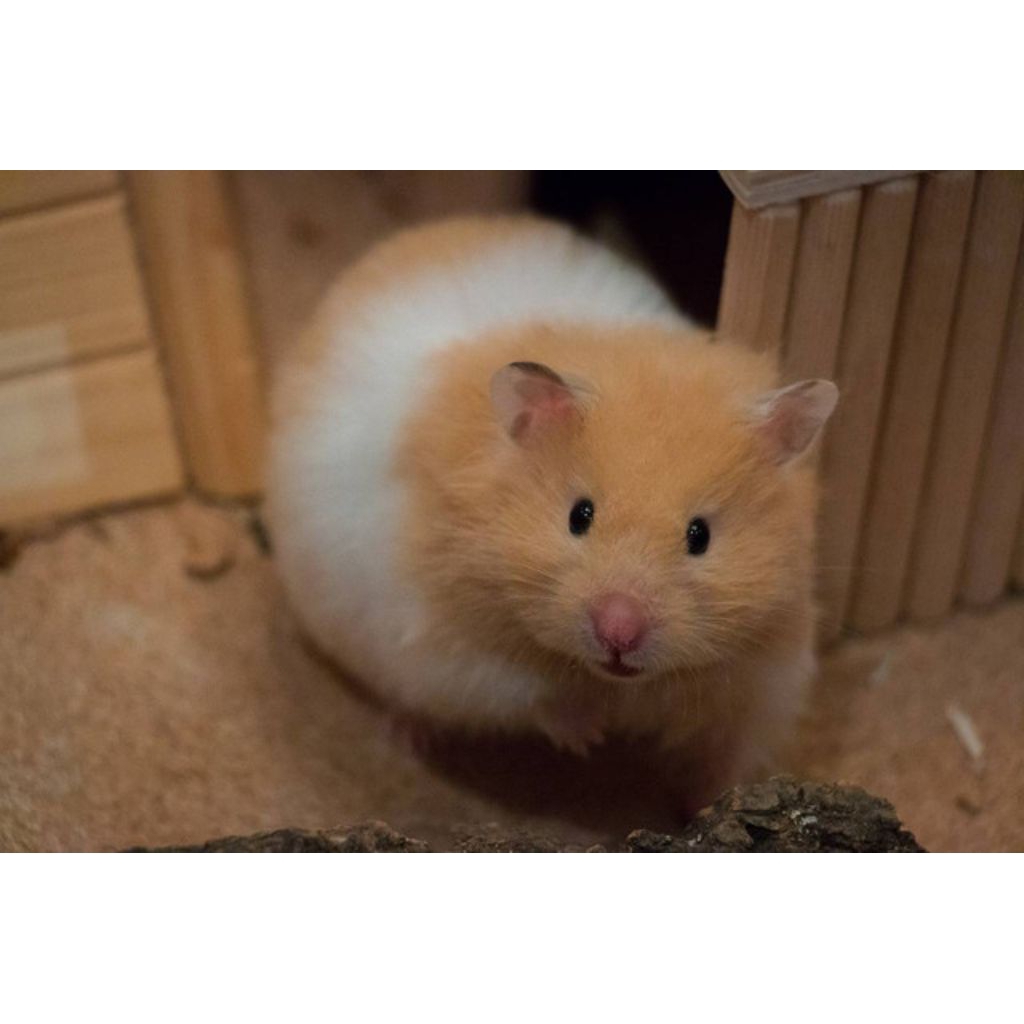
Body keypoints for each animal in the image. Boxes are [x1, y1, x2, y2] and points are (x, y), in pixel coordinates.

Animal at [267, 216, 837, 805]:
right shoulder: (451, 653)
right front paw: (590, 737)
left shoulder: (765, 678)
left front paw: (716, 801)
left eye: (699, 536)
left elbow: (727, 755)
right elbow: (529, 695)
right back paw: (409, 736)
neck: (616, 681)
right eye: (578, 516)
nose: (619, 632)